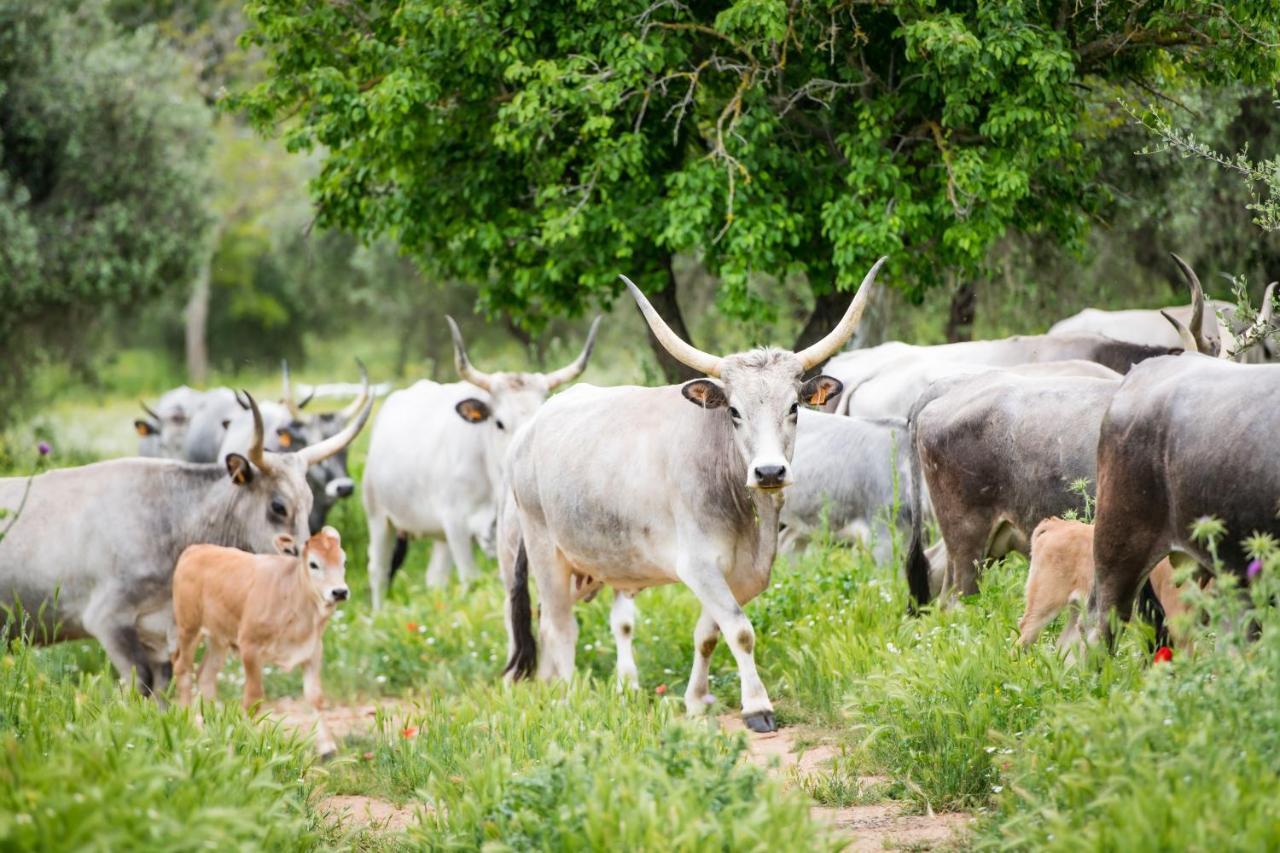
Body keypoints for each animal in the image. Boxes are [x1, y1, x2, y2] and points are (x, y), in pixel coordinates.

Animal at [0, 389, 371, 696]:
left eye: (310, 501)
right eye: (278, 506)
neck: (173, 522)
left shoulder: (162, 631)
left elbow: (165, 684)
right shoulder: (108, 620)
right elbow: (141, 683)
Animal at [172, 525, 350, 753]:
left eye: (343, 561)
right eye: (314, 564)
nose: (339, 591)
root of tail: (195, 550)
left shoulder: (312, 650)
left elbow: (315, 697)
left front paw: (327, 747)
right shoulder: (250, 648)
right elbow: (253, 699)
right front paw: (243, 739)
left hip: (218, 637)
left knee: (206, 676)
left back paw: (210, 727)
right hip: (189, 628)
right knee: (183, 670)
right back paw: (188, 724)